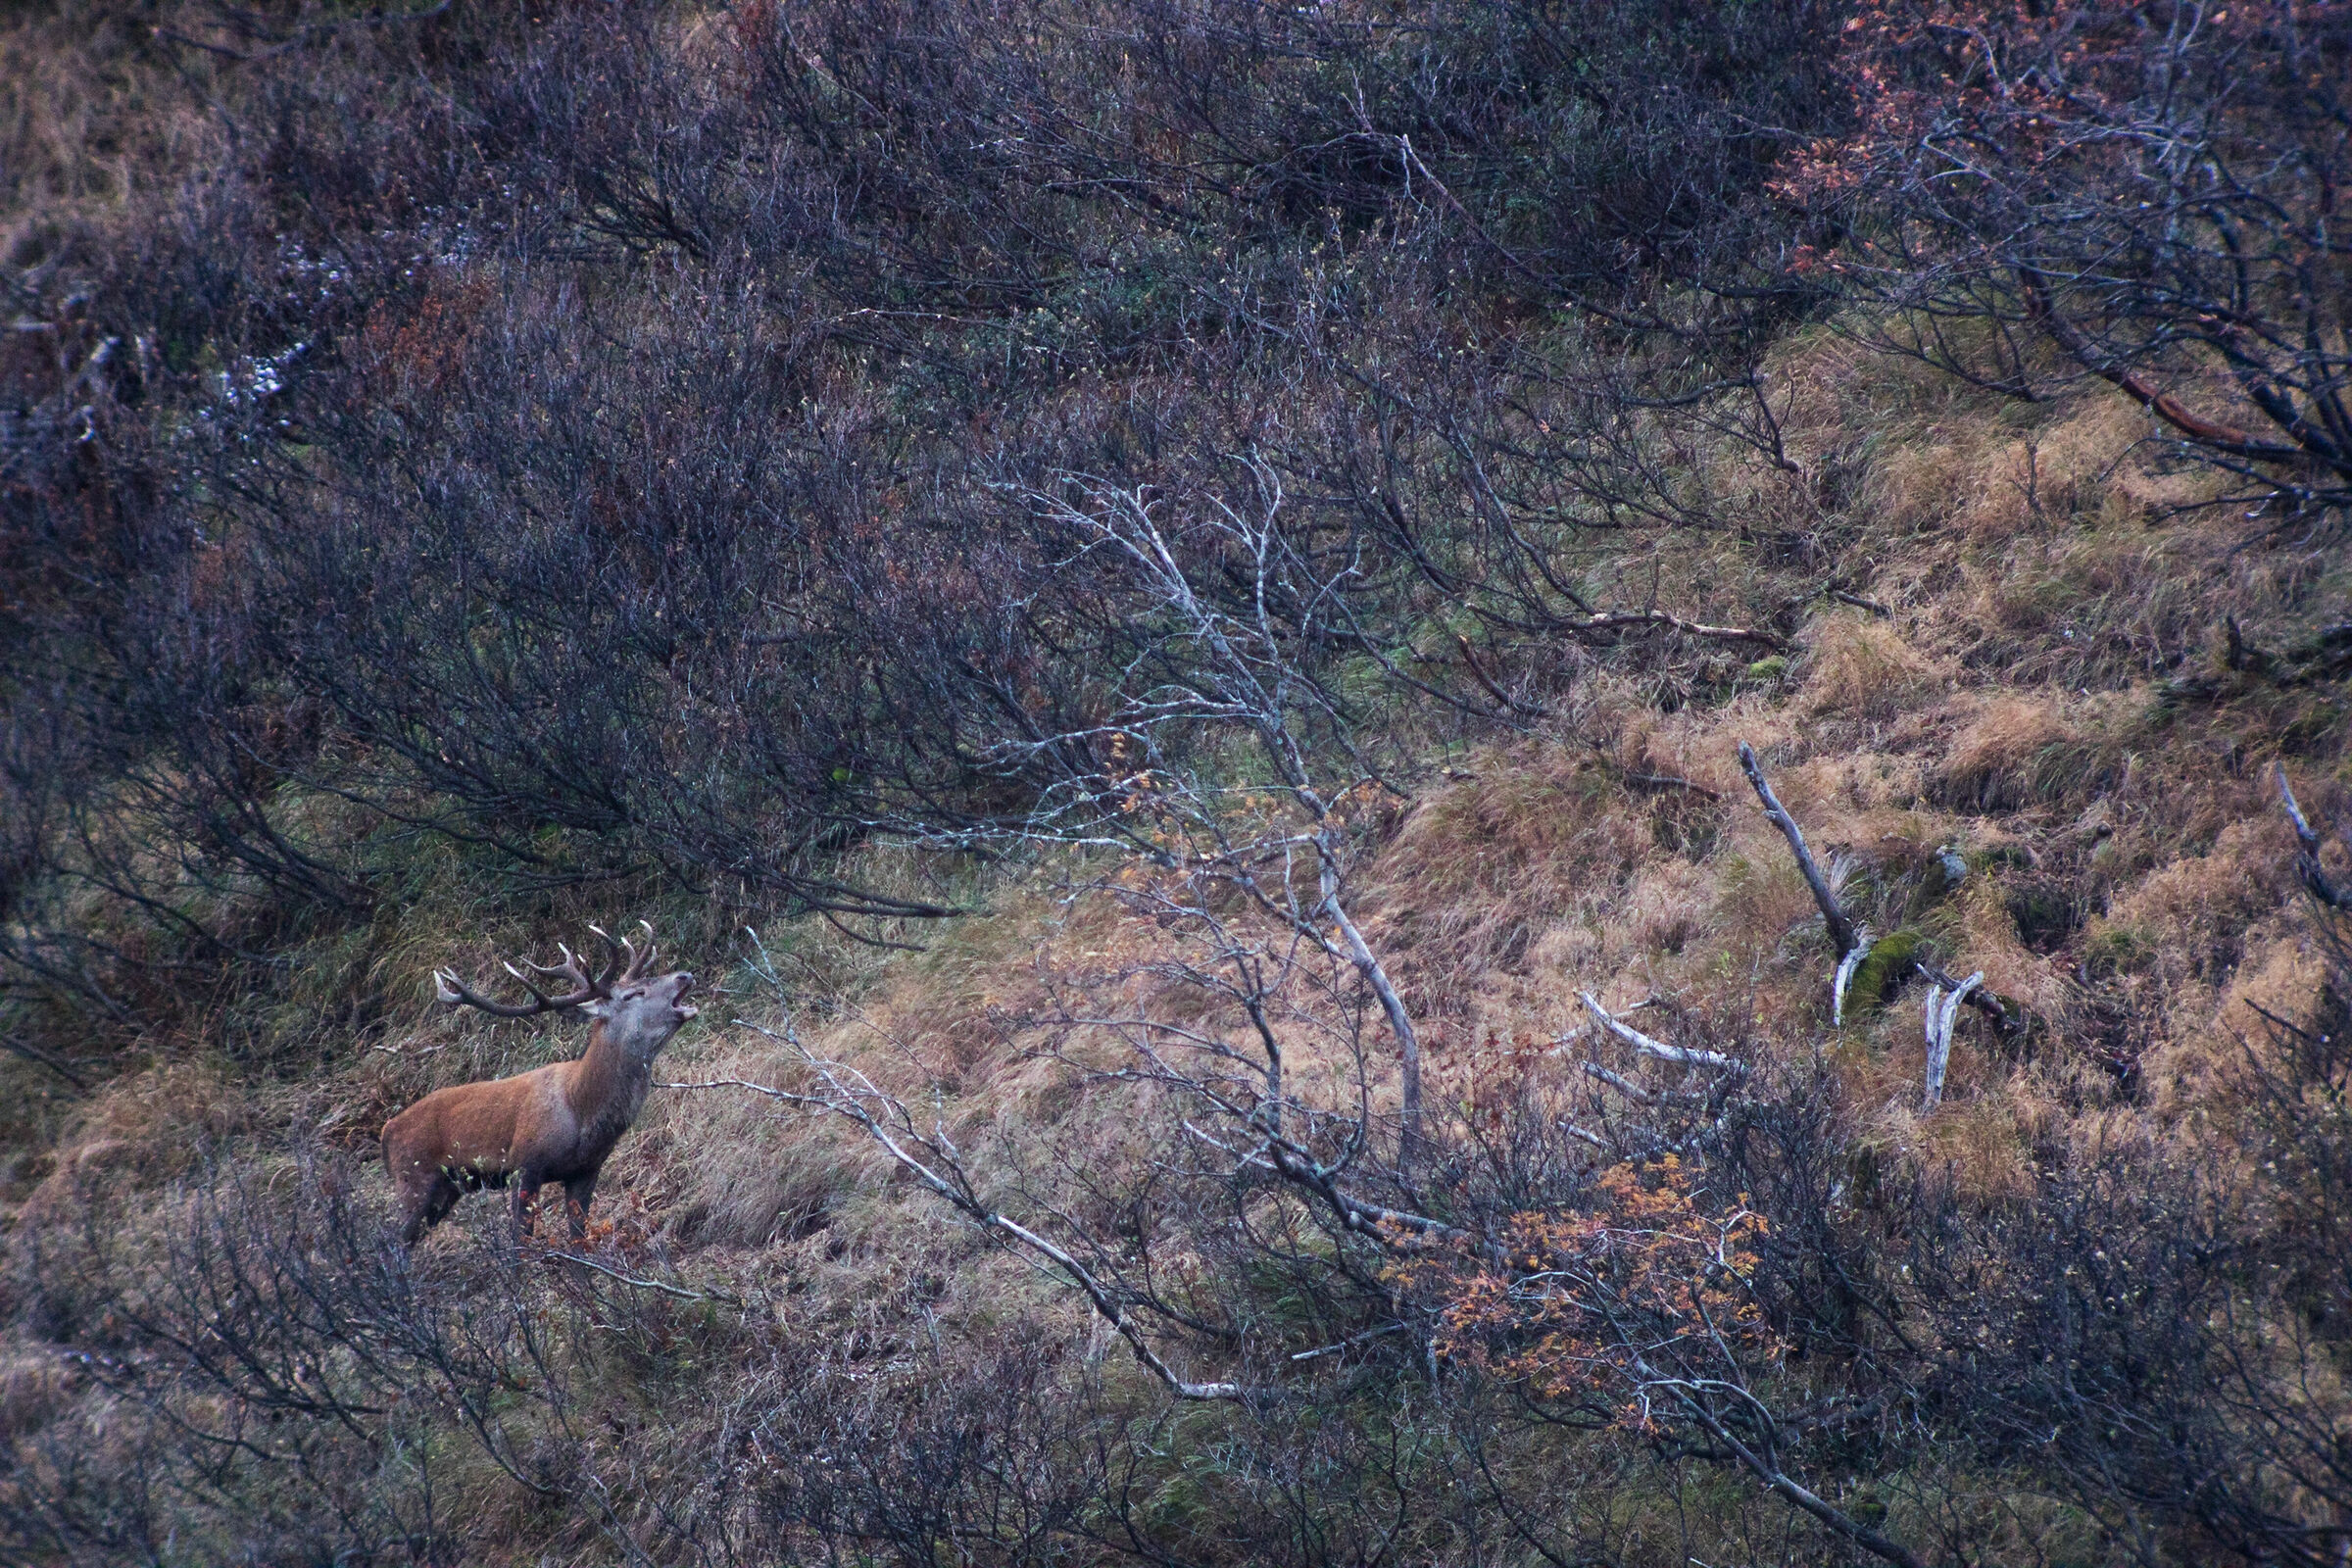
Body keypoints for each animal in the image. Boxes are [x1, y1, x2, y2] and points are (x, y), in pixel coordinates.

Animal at [382, 923, 696, 1246]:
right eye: (634, 993)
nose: (685, 975)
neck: (581, 1112)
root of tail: (386, 1132)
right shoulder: (524, 1164)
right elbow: (520, 1244)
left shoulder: (586, 1171)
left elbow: (579, 1243)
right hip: (414, 1178)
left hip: (445, 1191)